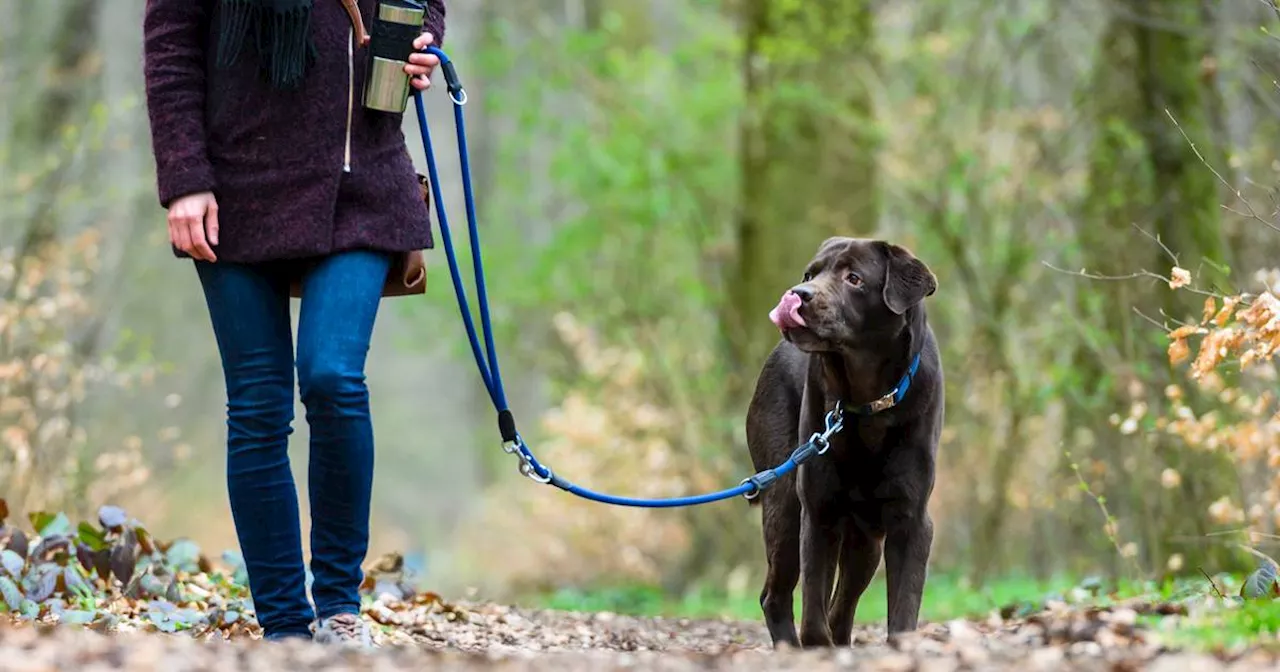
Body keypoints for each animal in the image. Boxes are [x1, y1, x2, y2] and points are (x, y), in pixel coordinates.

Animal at [747, 234, 947, 645]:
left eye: (854, 278)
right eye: (810, 274)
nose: (798, 294)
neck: (868, 401)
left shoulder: (911, 518)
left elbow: (903, 608)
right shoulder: (818, 510)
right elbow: (813, 612)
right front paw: (815, 646)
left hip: (866, 538)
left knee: (842, 604)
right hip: (786, 504)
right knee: (777, 595)